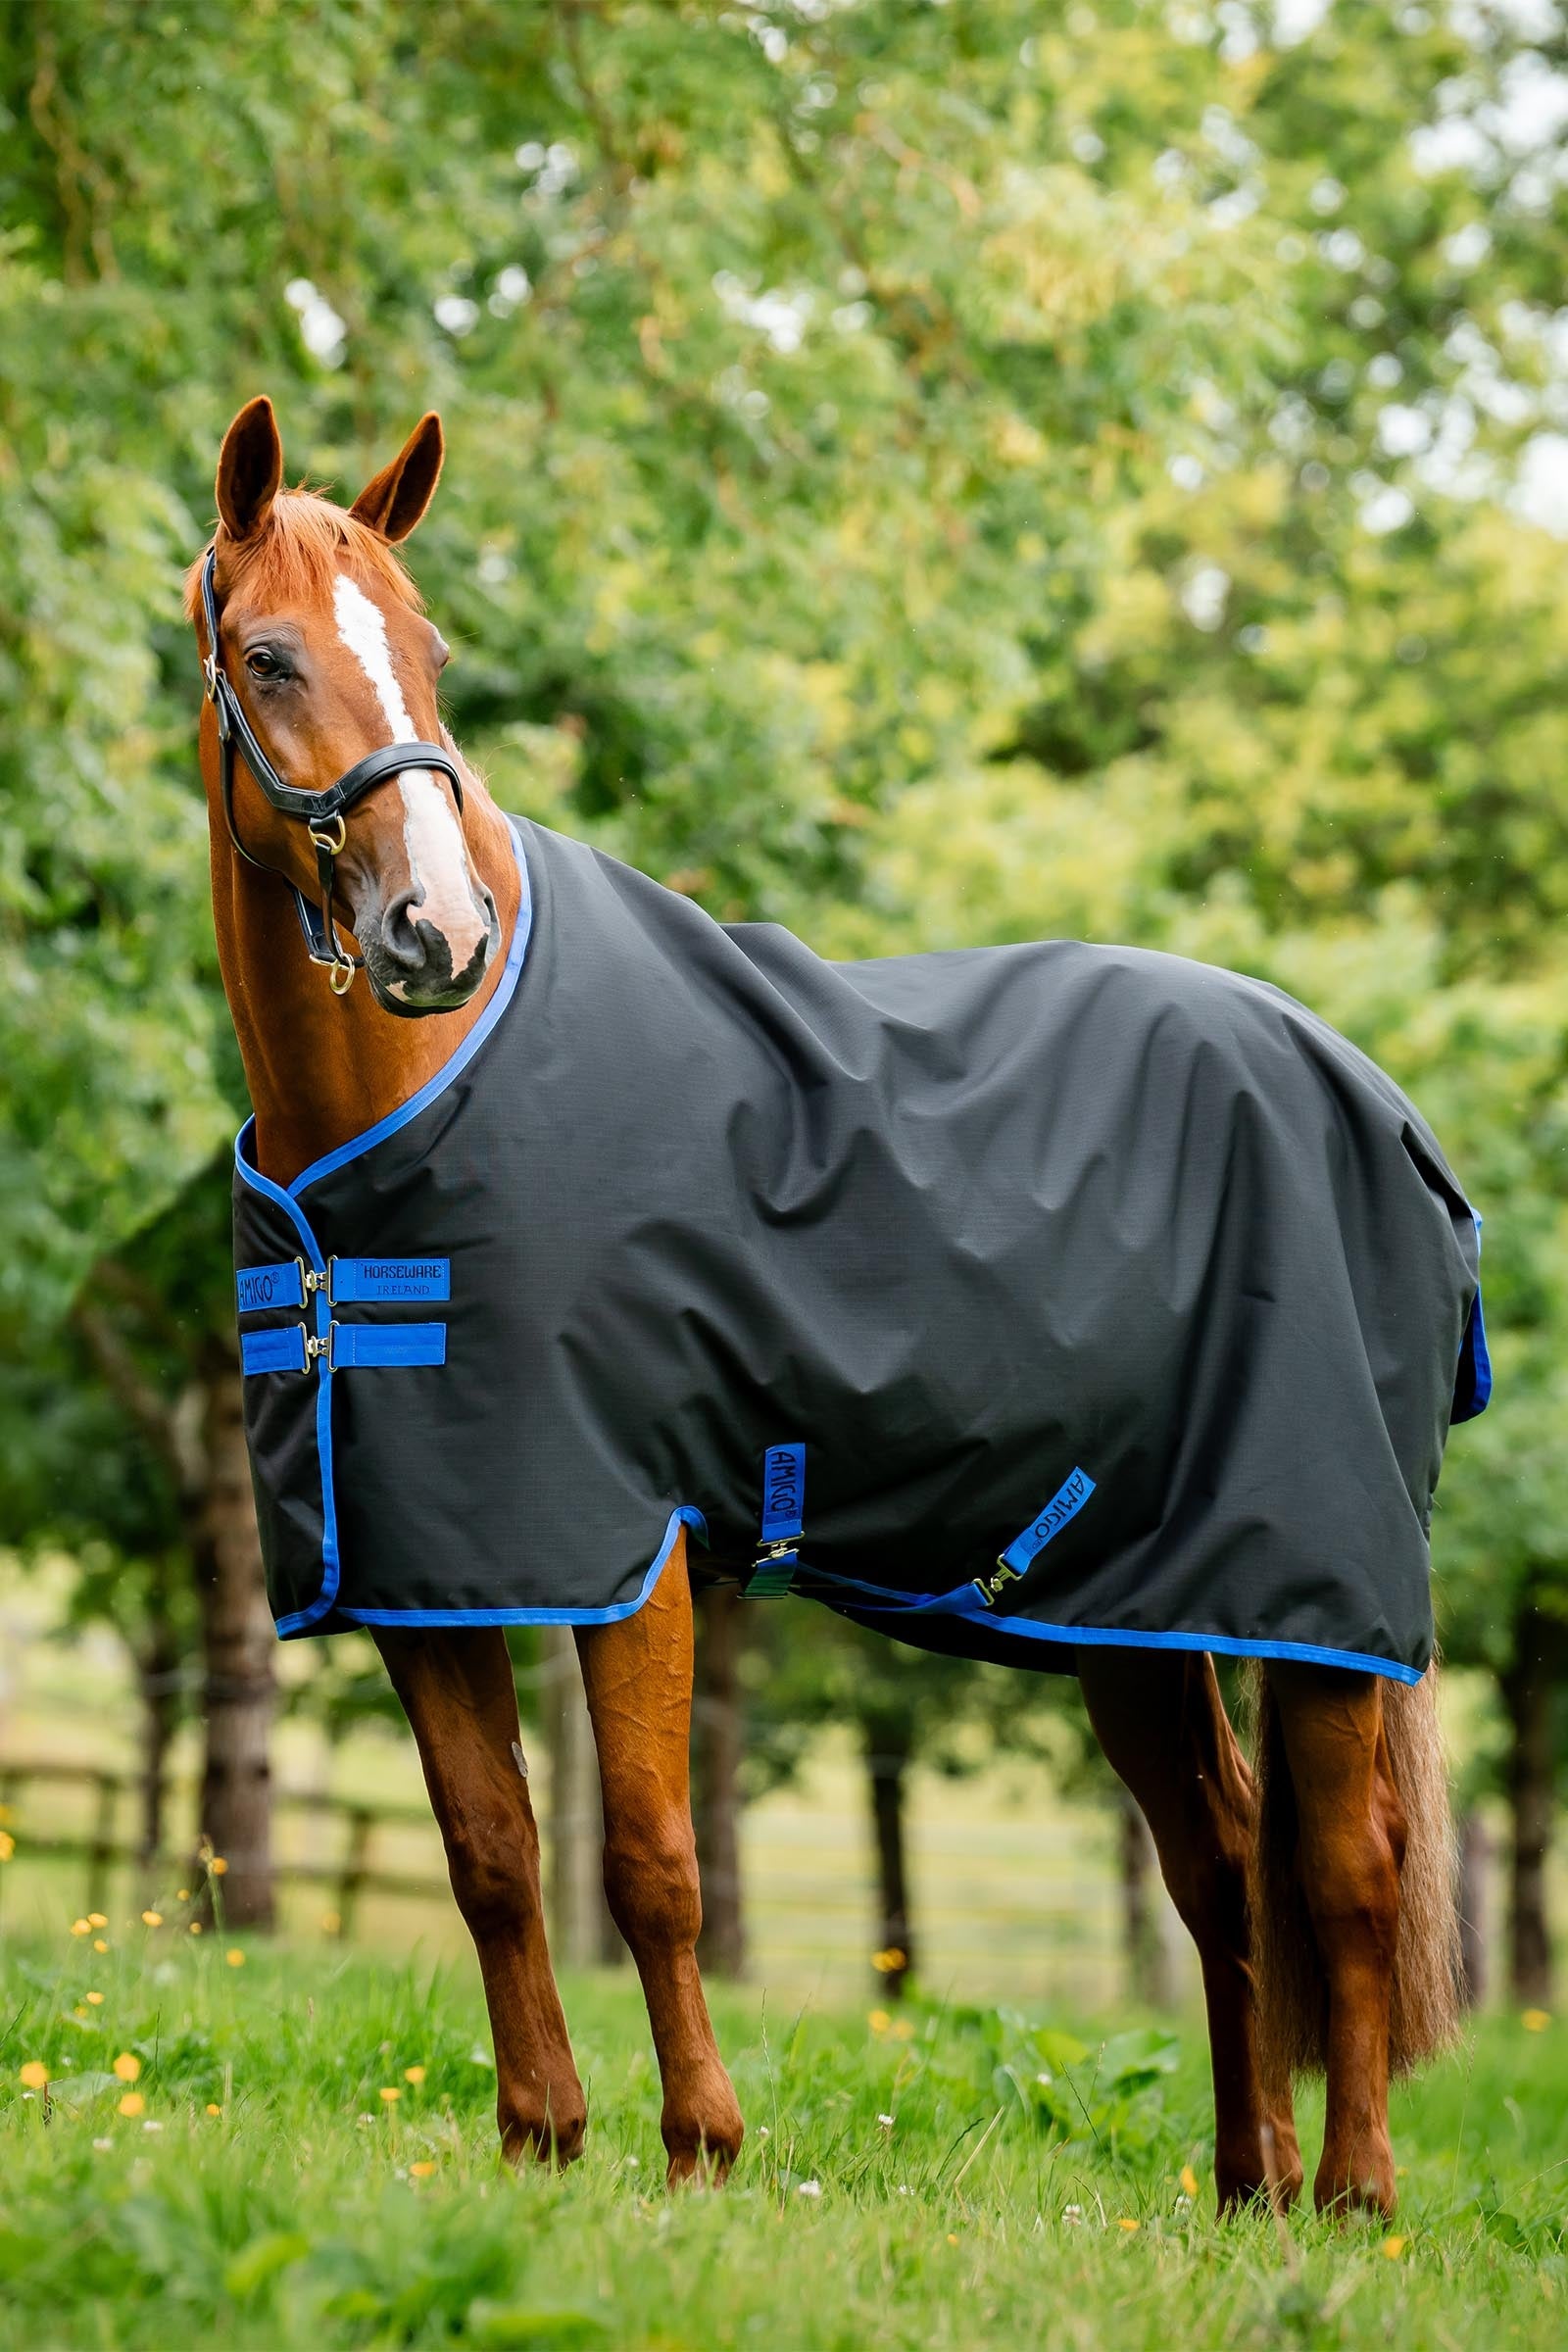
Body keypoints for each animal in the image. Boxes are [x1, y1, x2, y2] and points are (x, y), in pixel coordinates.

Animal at [189, 394, 1467, 2218]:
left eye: (430, 654)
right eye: (272, 655)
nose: (438, 929)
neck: (414, 1102)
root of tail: (1384, 1104)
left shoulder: (629, 1546)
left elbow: (652, 1860)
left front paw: (700, 2151)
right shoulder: (430, 1561)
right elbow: (493, 1854)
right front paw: (541, 2142)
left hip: (1320, 1598)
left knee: (1348, 1872)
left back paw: (1355, 2200)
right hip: (1136, 1607)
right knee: (1220, 1862)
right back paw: (1247, 2188)